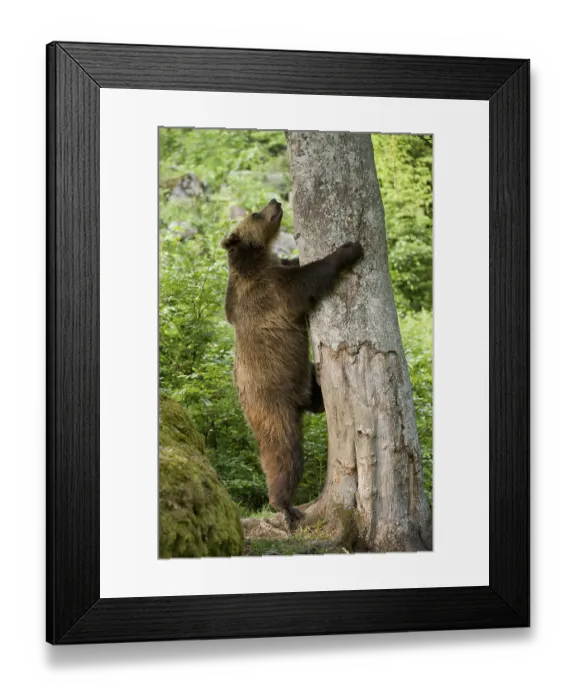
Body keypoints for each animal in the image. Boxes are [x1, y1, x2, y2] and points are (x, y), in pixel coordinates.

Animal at [221, 199, 363, 530]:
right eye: (256, 213)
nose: (274, 201)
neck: (257, 261)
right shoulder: (270, 291)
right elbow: (306, 282)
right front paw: (349, 249)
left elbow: (294, 266)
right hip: (273, 405)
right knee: (284, 454)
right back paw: (285, 506)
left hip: (301, 379)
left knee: (314, 392)